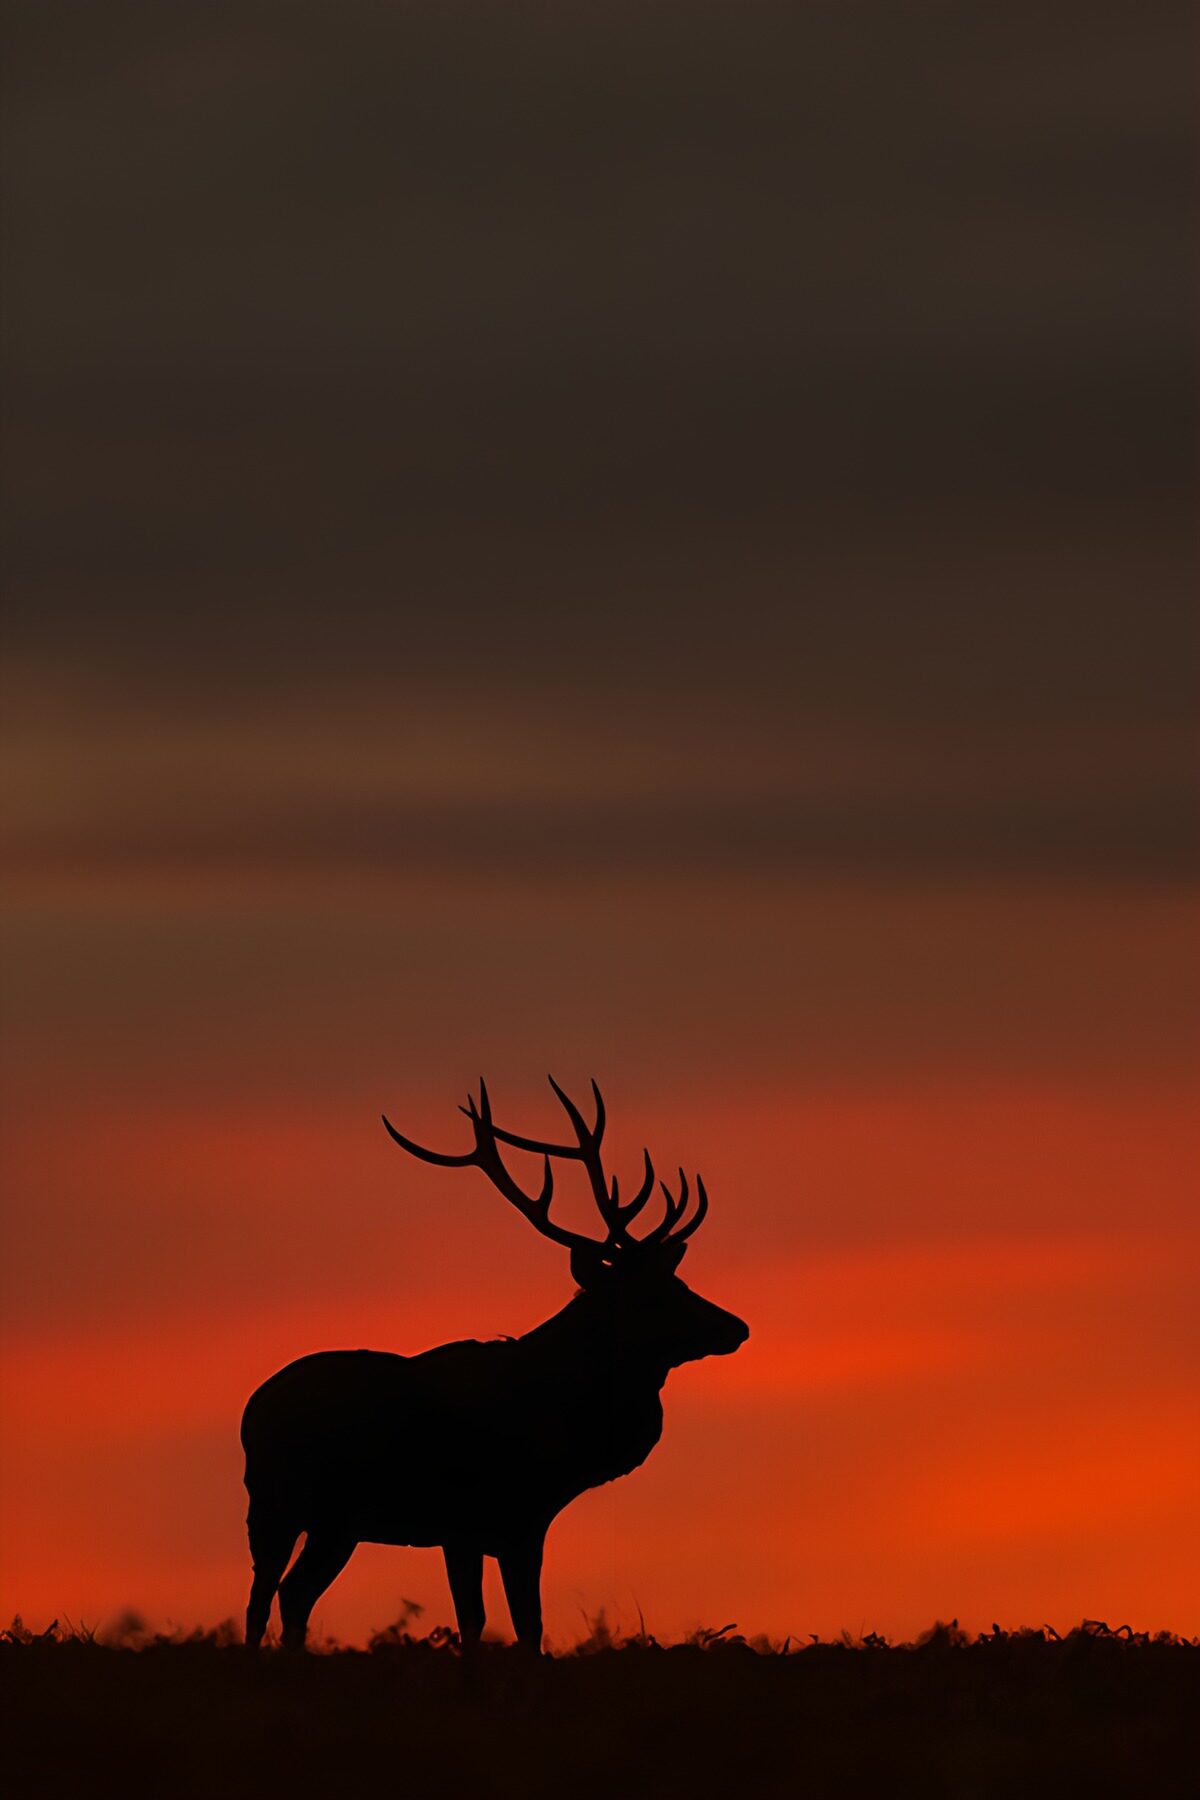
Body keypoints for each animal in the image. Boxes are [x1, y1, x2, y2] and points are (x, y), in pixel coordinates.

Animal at [240, 1078, 749, 1654]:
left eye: (680, 1282)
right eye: (650, 1297)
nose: (736, 1327)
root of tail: (252, 1410)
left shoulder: (518, 1523)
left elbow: (518, 1624)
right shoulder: (470, 1519)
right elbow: (487, 1621)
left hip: (330, 1521)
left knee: (288, 1595)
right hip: (281, 1503)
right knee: (267, 1598)